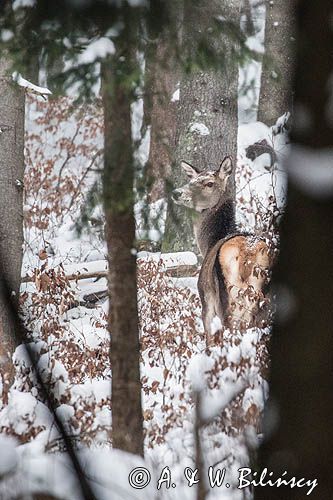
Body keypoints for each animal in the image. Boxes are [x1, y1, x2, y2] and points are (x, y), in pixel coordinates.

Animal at [171, 156, 270, 342]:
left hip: (228, 299)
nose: (176, 193)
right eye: (191, 180)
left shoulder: (206, 300)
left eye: (209, 183)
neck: (209, 243)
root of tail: (248, 255)